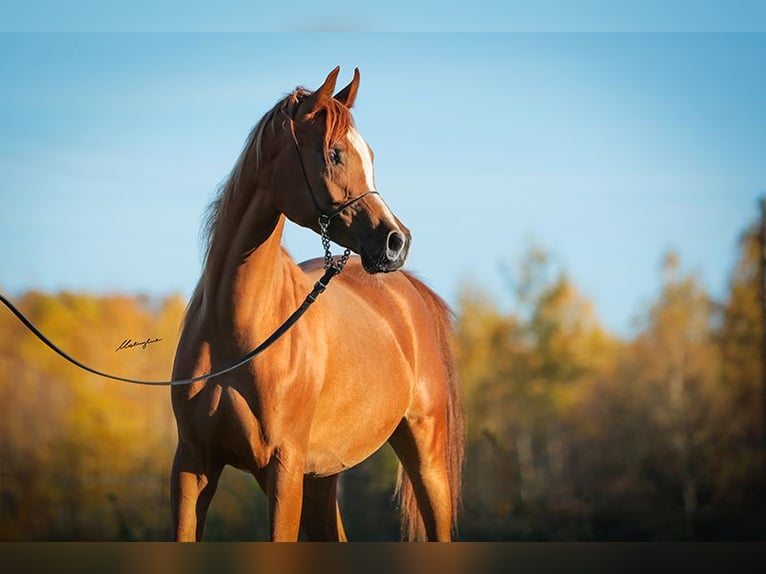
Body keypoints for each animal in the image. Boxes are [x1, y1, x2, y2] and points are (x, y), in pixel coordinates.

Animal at [171, 67, 464, 544]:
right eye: (334, 153)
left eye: (370, 155)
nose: (396, 242)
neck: (238, 332)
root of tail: (410, 291)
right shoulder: (193, 466)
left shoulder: (283, 469)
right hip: (321, 479)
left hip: (426, 459)